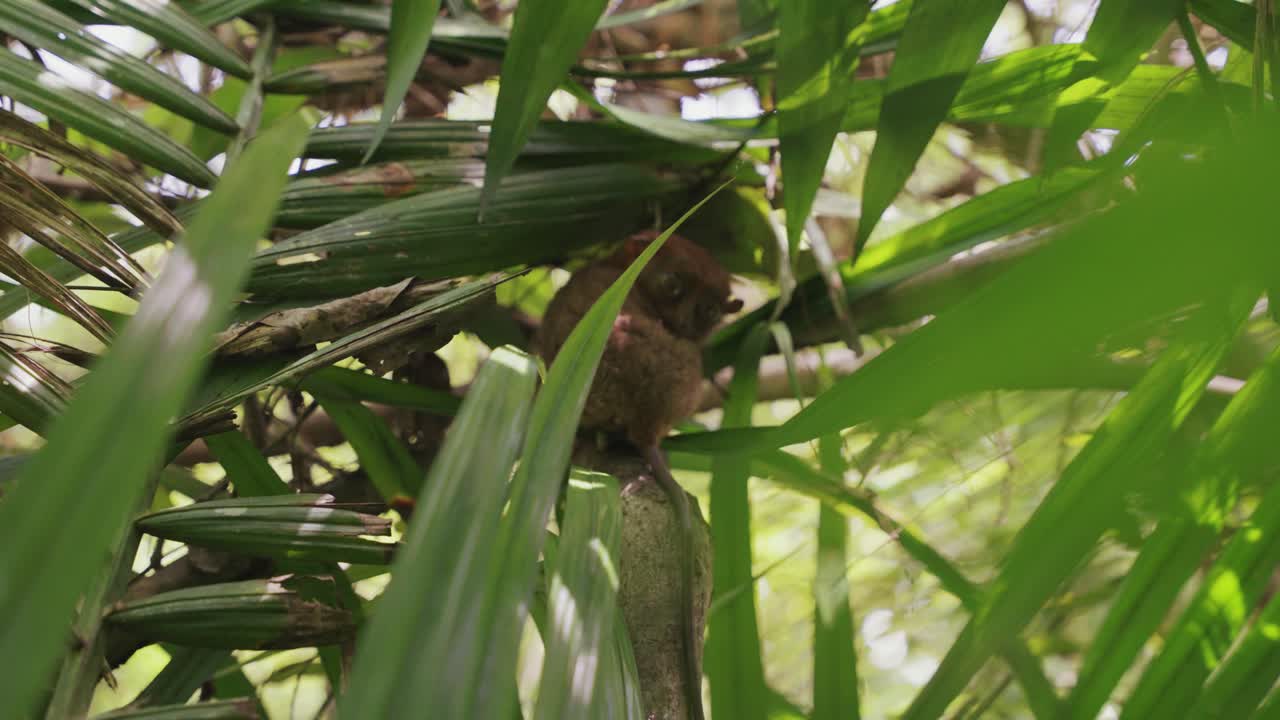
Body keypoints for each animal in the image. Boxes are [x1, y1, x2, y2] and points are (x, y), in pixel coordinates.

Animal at [536, 231, 743, 720]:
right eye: (672, 285)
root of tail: (645, 424)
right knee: (690, 362)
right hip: (679, 373)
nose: (686, 320)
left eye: (709, 309)